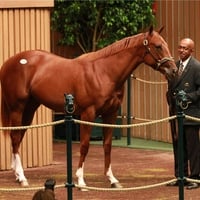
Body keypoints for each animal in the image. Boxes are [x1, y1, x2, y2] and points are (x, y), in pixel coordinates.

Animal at [0, 26, 177, 188]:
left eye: (166, 44)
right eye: (158, 46)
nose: (174, 70)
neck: (104, 72)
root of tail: (8, 63)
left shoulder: (110, 114)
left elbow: (107, 145)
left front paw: (112, 179)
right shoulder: (88, 114)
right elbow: (85, 145)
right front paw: (80, 180)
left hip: (29, 109)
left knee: (18, 137)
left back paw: (17, 175)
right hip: (17, 108)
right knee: (15, 138)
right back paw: (22, 178)